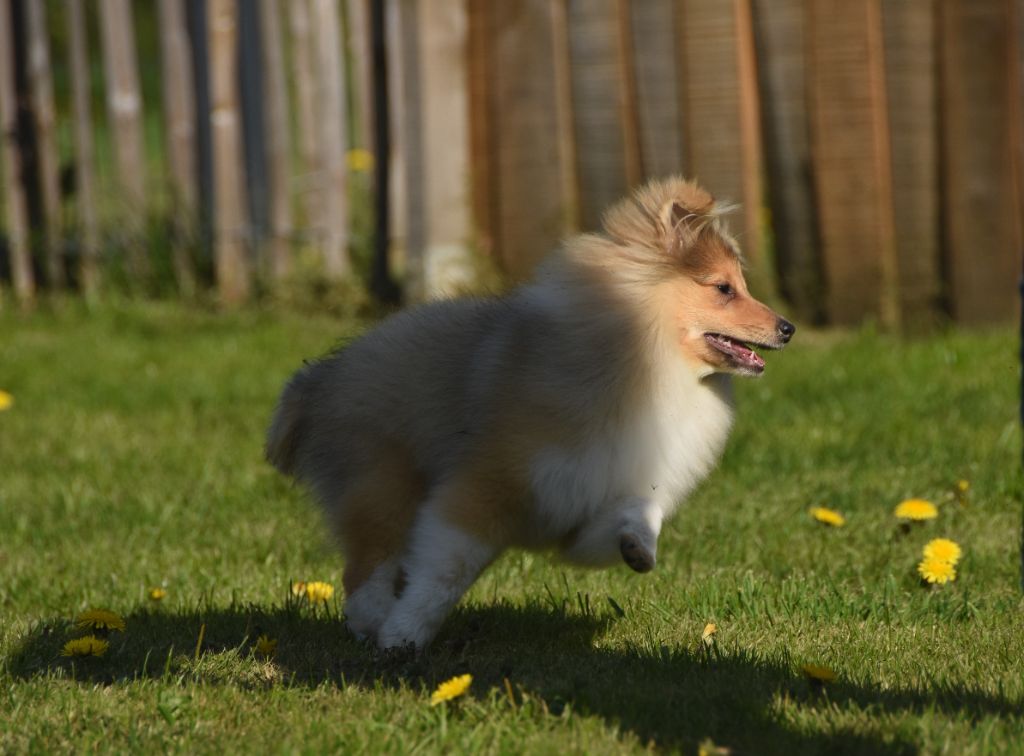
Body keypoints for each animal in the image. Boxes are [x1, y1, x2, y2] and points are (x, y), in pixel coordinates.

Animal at [264, 176, 790, 647]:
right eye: (724, 289)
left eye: (740, 285)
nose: (787, 328)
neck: (650, 362)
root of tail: (319, 378)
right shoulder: (484, 487)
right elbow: (444, 573)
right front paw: (404, 635)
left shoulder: (606, 487)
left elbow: (639, 513)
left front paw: (639, 548)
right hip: (381, 483)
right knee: (366, 568)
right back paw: (373, 624)